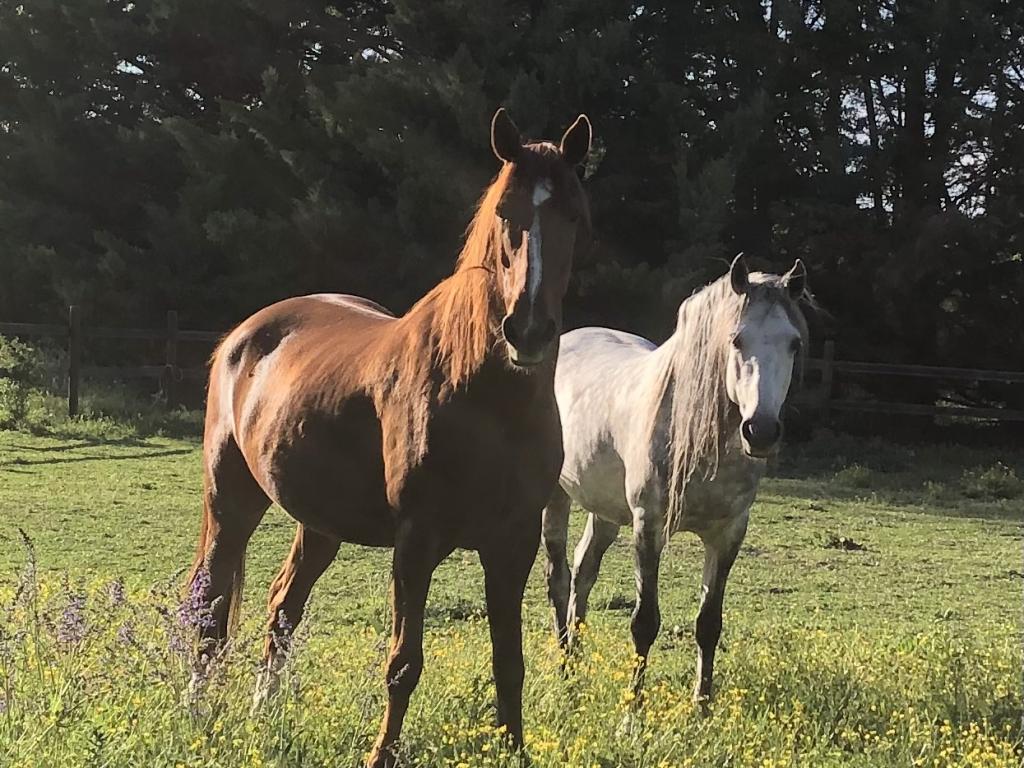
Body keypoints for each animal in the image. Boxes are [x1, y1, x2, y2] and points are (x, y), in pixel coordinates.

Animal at [186, 108, 592, 768]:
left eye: (573, 216)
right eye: (506, 211)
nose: (527, 330)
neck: (485, 399)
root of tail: (243, 336)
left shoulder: (513, 541)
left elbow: (509, 662)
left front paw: (515, 748)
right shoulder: (415, 542)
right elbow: (404, 663)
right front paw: (382, 754)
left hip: (319, 523)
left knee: (281, 607)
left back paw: (262, 712)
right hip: (231, 502)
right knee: (211, 609)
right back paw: (198, 716)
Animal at [541, 255, 810, 704]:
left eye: (793, 343)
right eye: (736, 340)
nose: (761, 431)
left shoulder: (728, 533)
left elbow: (709, 624)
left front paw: (702, 706)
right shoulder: (648, 525)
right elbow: (644, 623)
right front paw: (632, 710)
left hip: (605, 511)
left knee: (583, 572)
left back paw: (576, 665)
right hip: (557, 498)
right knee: (559, 579)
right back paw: (565, 673)